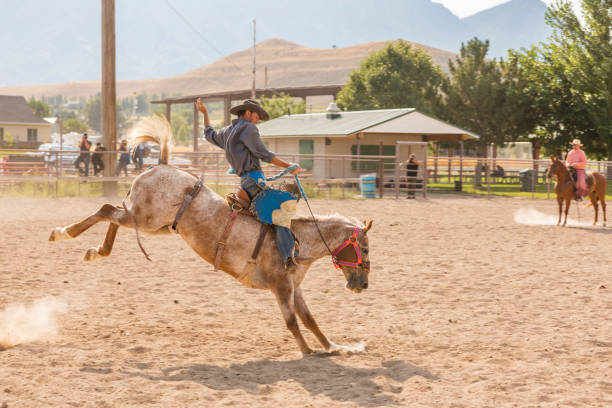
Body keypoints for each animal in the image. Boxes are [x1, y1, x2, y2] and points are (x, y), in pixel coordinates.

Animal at [47, 116, 370, 356]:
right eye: (365, 250)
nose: (363, 285)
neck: (299, 240)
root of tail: (162, 164)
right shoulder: (280, 286)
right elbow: (292, 321)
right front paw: (308, 351)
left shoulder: (294, 287)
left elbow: (310, 320)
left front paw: (338, 347)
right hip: (145, 219)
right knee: (106, 210)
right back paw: (62, 233)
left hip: (149, 222)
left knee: (112, 212)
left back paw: (95, 250)